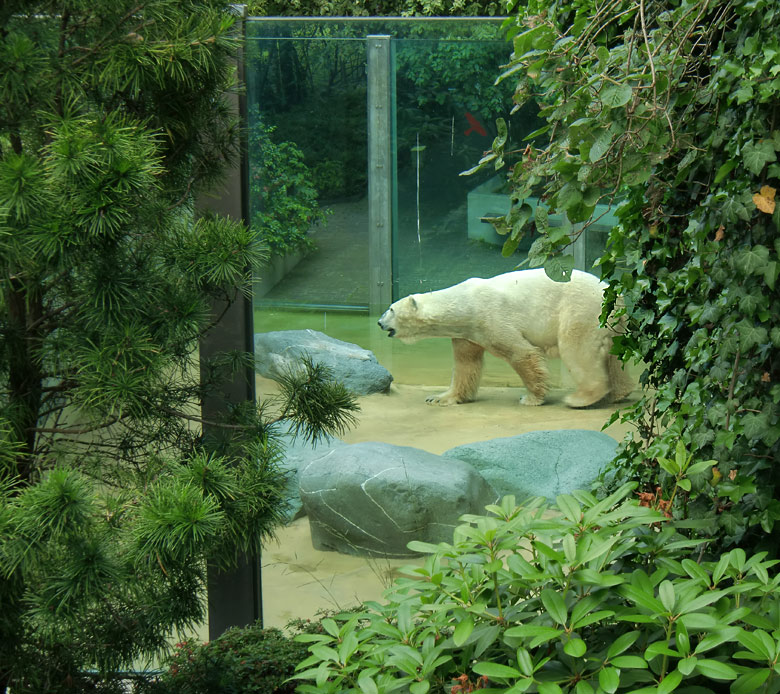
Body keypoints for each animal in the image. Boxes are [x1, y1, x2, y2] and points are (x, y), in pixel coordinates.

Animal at [378, 266, 632, 408]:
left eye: (390, 309)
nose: (380, 323)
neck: (464, 303)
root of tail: (617, 295)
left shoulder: (490, 317)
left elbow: (521, 353)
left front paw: (531, 398)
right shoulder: (468, 333)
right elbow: (465, 365)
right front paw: (440, 398)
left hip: (582, 310)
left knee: (577, 350)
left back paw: (580, 398)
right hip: (613, 321)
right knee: (613, 354)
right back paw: (618, 393)